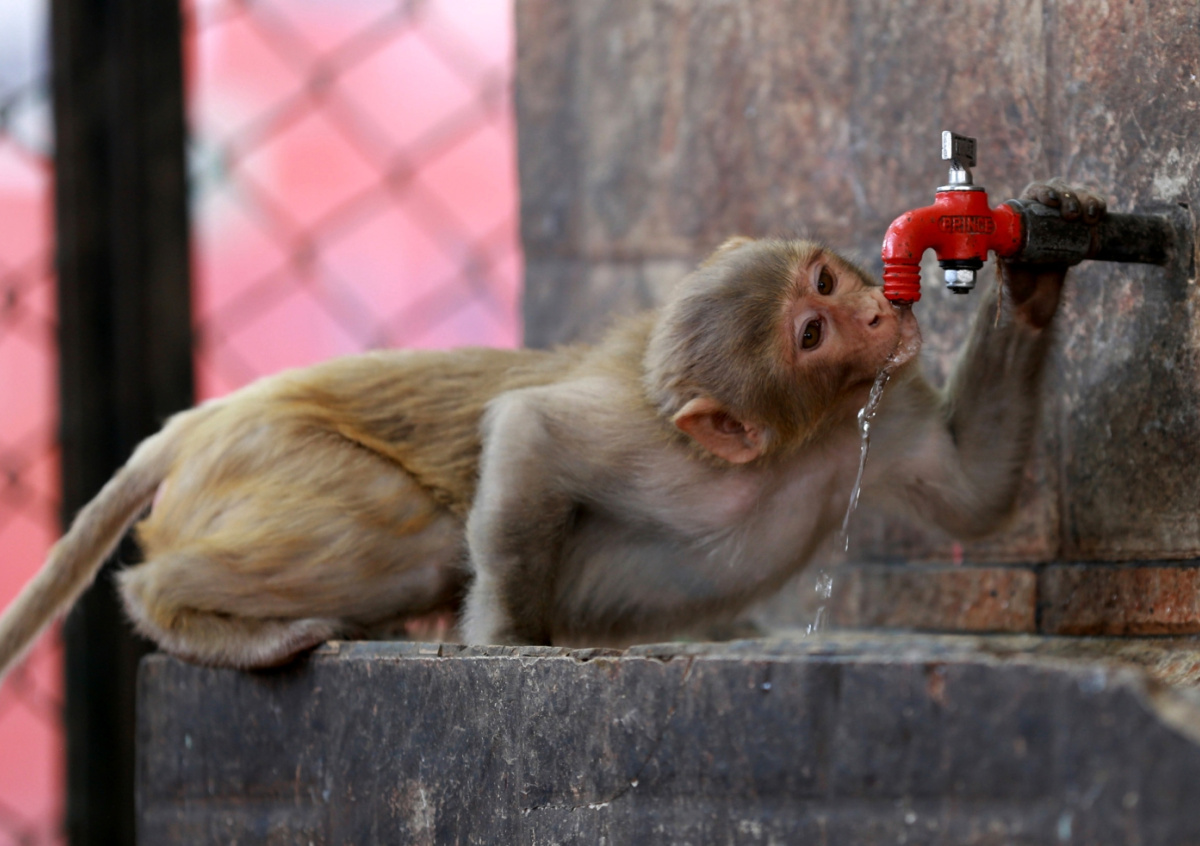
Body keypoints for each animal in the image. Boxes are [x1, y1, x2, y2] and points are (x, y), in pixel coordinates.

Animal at [0, 180, 1105, 672]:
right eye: (811, 330)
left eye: (826, 283)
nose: (881, 312)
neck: (789, 449)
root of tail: (200, 418)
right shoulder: (663, 454)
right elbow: (530, 432)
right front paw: (505, 645)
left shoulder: (879, 416)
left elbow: (971, 488)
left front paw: (1037, 273)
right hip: (267, 461)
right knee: (406, 533)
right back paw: (207, 621)